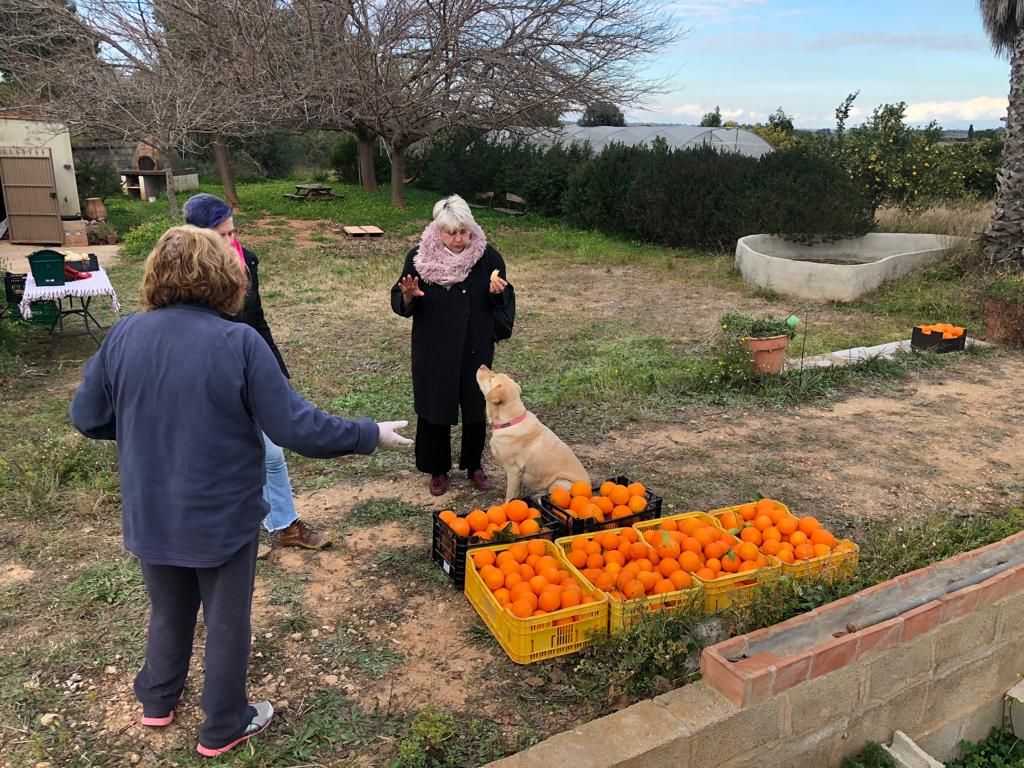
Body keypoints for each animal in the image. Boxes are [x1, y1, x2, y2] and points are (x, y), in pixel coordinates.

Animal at [473, 364, 589, 501]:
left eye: (492, 378)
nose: (482, 365)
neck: (511, 421)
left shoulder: (514, 471)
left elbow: (510, 496)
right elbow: (517, 493)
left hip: (560, 482)